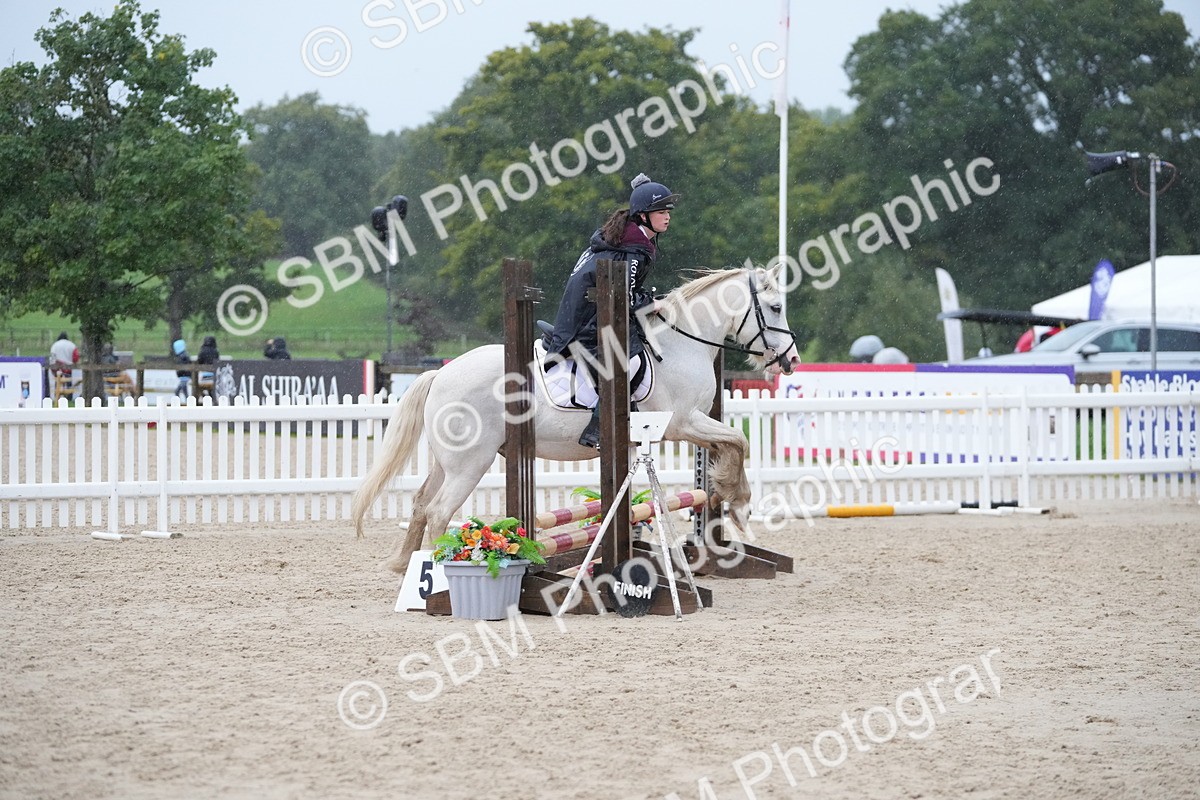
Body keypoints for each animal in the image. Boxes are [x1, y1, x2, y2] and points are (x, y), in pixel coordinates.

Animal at [351, 264, 801, 573]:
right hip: (470, 464)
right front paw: (739, 502)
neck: (681, 343)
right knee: (439, 511)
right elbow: (739, 441)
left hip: (448, 462)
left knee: (420, 504)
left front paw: (724, 494)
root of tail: (441, 374)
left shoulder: (691, 426)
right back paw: (439, 568)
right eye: (776, 307)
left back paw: (404, 564)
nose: (791, 360)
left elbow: (727, 447)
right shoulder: (682, 423)